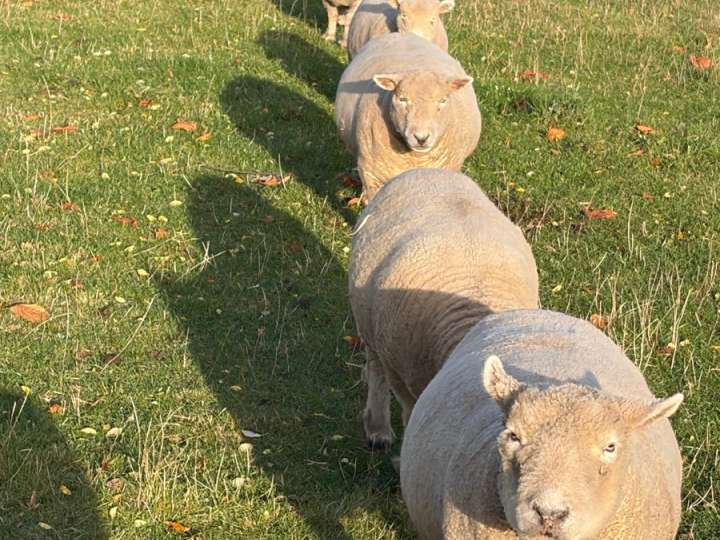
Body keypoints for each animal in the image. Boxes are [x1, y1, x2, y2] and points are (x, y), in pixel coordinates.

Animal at [335, 32, 481, 201]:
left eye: (443, 100)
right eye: (402, 99)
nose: (421, 138)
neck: (414, 158)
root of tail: (401, 34)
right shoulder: (372, 177)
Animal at [349, 169, 539, 449]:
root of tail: (425, 170)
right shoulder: (402, 377)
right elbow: (410, 409)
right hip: (371, 329)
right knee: (376, 370)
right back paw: (378, 429)